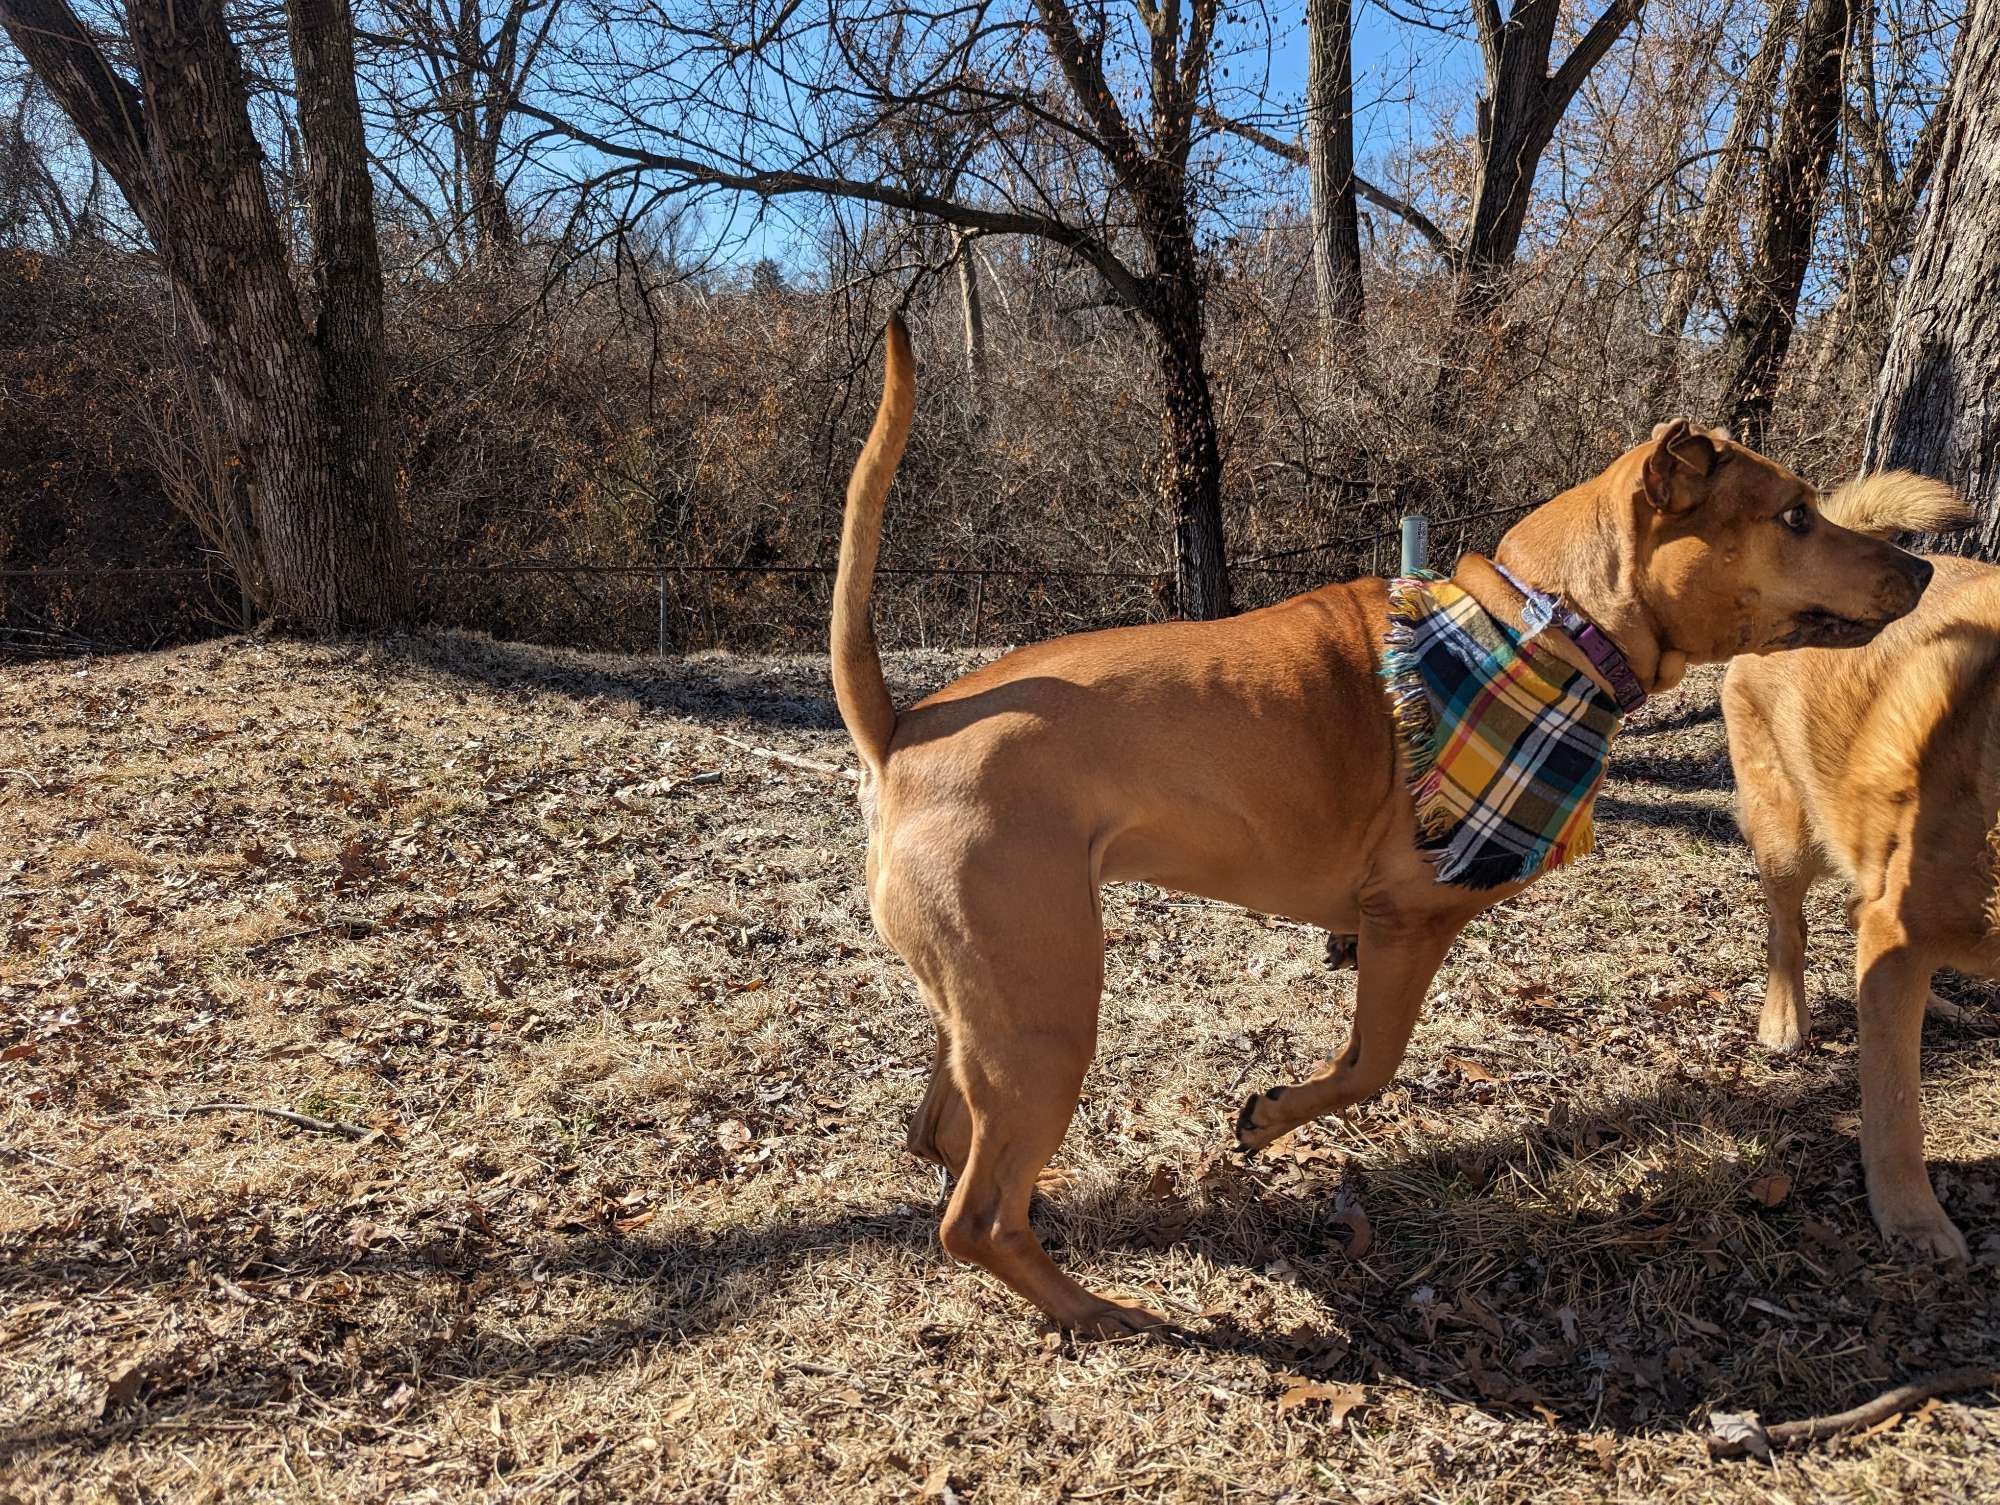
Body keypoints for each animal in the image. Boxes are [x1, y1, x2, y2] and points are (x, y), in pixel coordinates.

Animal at [840, 320, 1936, 1336]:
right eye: (1795, 515)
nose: (1922, 569)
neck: (1548, 626)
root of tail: (902, 731)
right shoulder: (1407, 921)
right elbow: (1369, 1065)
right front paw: (1268, 1117)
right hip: (1047, 1015)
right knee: (973, 1216)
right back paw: (1094, 1308)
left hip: (989, 1003)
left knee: (943, 1140)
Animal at [1728, 470, 1992, 1256]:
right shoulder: (1899, 929)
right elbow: (1895, 1103)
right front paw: (1911, 1216)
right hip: (1789, 834)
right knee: (1788, 929)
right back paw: (1785, 1020)